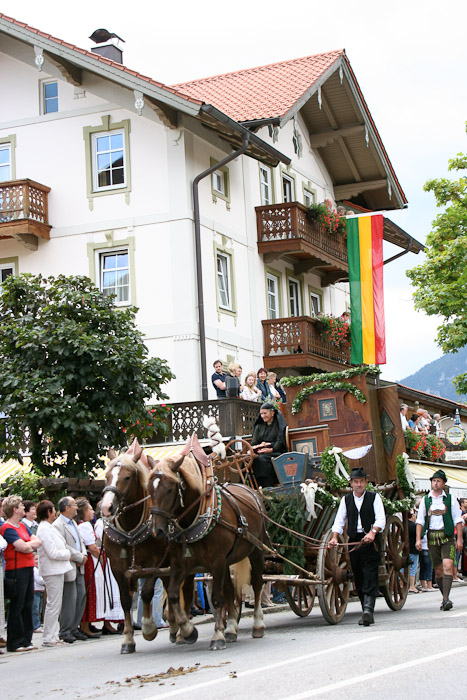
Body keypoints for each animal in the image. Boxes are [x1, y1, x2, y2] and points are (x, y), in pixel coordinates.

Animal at [100, 446, 193, 653]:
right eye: (107, 476)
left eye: (127, 477)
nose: (106, 507)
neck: (130, 527)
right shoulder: (116, 566)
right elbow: (125, 600)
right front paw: (128, 639)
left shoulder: (155, 561)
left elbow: (147, 592)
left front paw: (148, 627)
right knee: (170, 587)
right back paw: (174, 627)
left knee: (185, 590)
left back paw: (182, 631)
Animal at [148, 451, 268, 650]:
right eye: (149, 488)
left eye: (170, 489)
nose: (157, 530)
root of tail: (251, 491)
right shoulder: (181, 564)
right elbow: (173, 594)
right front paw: (188, 631)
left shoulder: (217, 561)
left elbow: (217, 598)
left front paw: (217, 635)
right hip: (228, 561)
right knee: (230, 589)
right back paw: (231, 629)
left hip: (256, 550)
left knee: (258, 582)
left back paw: (257, 624)